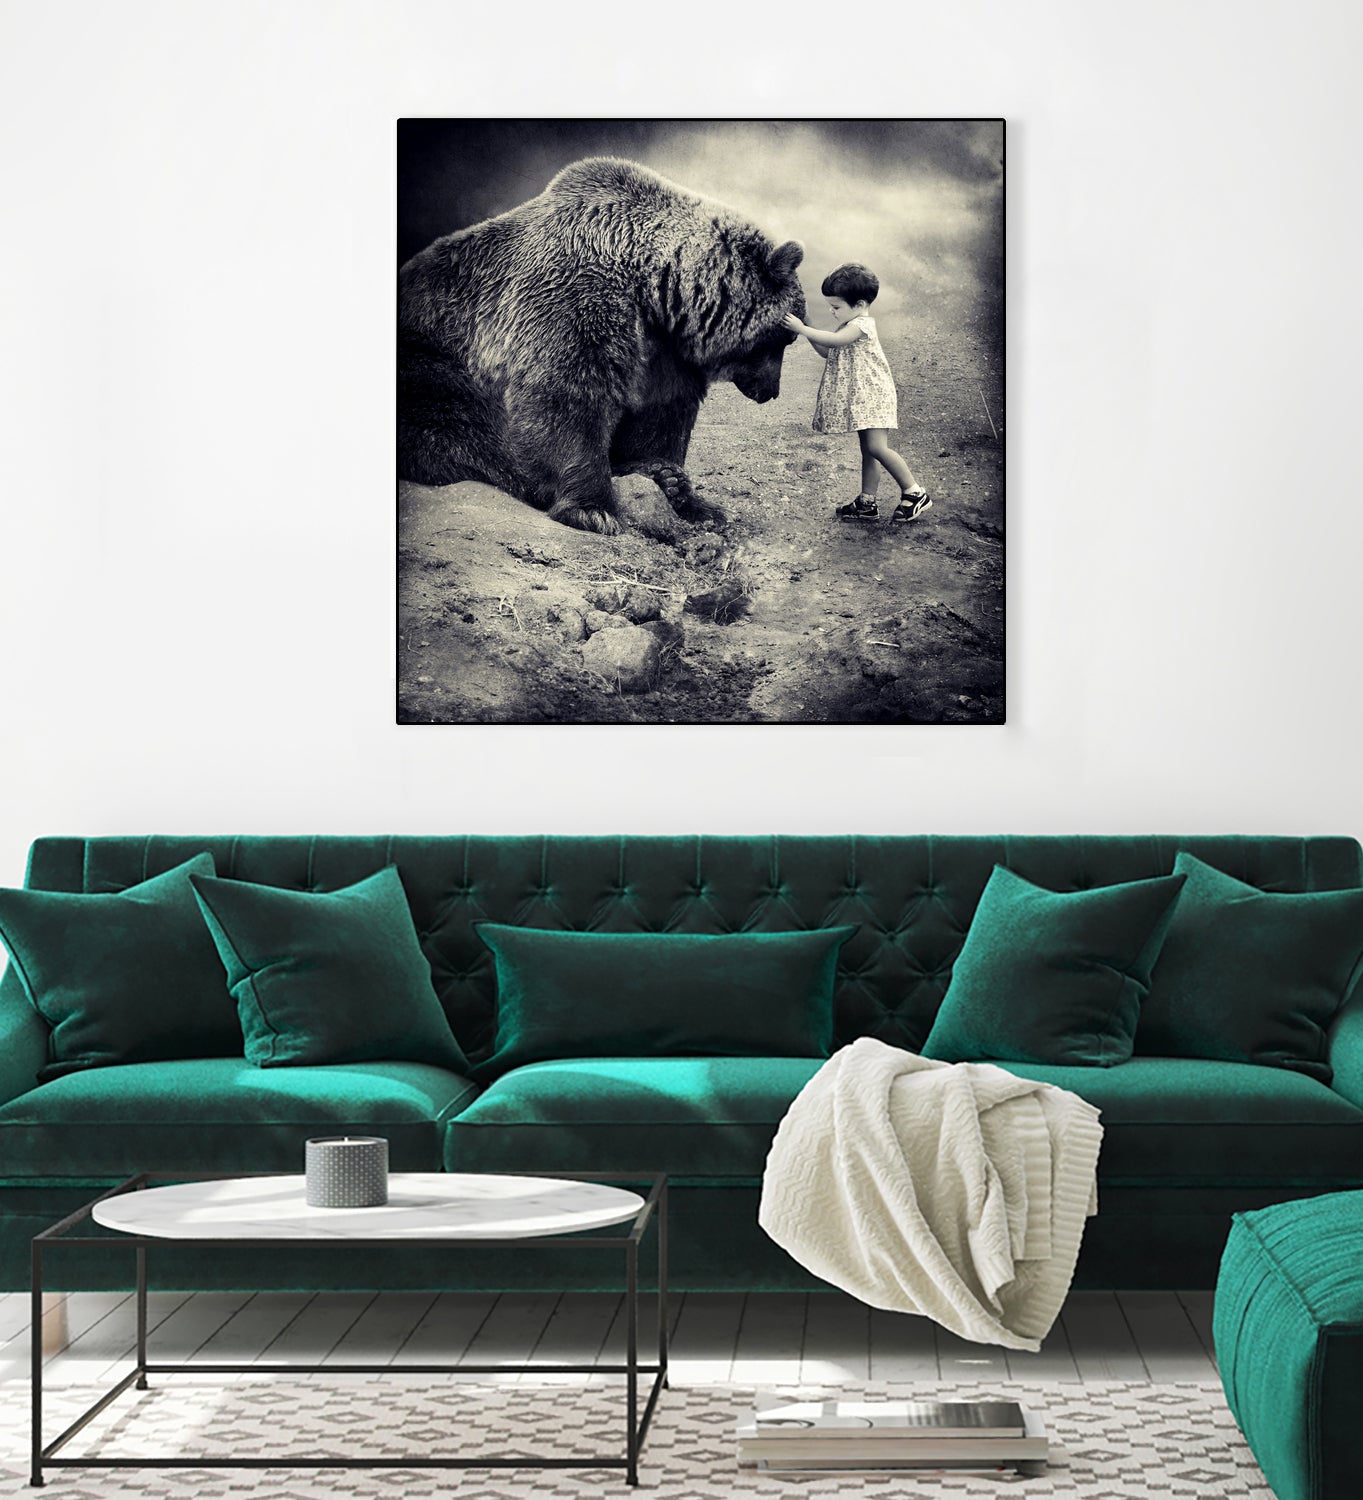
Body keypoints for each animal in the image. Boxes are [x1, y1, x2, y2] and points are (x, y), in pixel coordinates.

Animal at [398, 156, 806, 534]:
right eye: (785, 337)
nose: (771, 390)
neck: (654, 286)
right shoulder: (572, 297)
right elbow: (568, 395)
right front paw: (594, 509)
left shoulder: (663, 349)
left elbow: (662, 414)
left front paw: (682, 490)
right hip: (435, 355)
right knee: (461, 423)